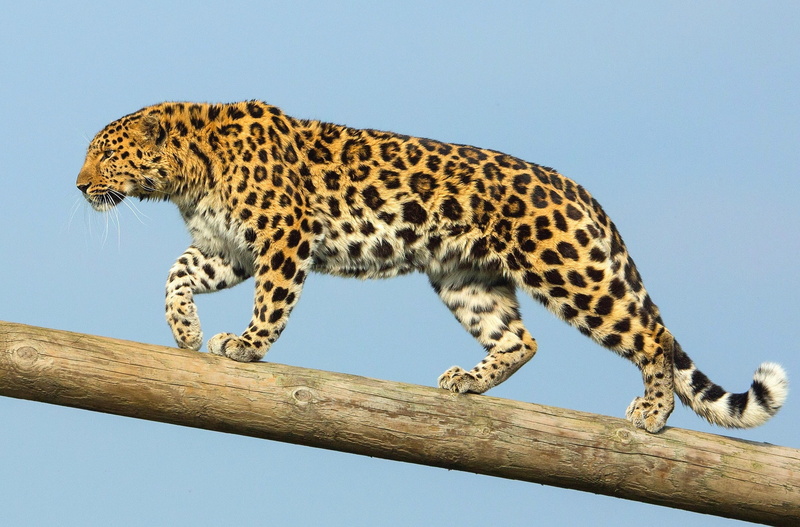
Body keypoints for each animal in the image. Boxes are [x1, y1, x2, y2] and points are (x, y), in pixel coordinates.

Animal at [77, 100, 788, 433]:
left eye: (104, 155)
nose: (79, 186)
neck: (187, 175)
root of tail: (576, 189)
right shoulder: (229, 249)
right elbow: (177, 272)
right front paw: (185, 330)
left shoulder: (282, 238)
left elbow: (271, 303)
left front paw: (245, 347)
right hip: (464, 277)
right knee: (521, 338)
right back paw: (468, 382)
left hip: (568, 268)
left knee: (649, 335)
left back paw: (653, 413)